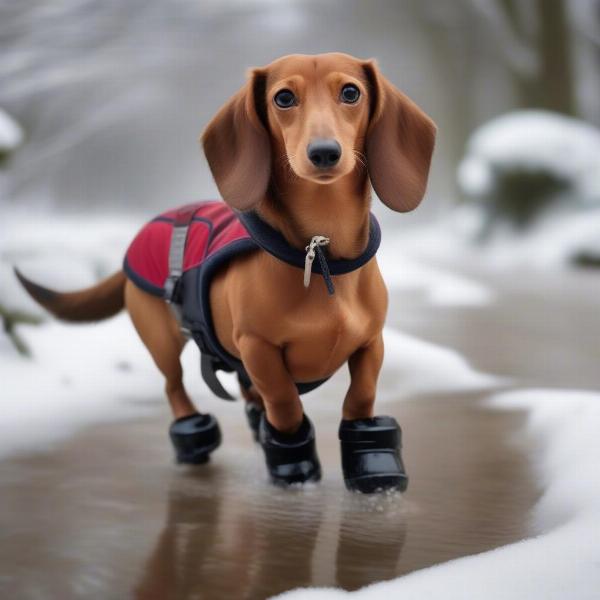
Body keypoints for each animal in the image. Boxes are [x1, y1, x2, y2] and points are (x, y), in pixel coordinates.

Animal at [15, 52, 436, 492]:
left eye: (351, 92)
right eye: (283, 98)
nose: (324, 152)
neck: (321, 254)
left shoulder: (370, 342)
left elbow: (361, 396)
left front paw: (373, 467)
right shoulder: (258, 347)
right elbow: (284, 402)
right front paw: (293, 465)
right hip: (162, 339)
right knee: (174, 386)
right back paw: (193, 439)